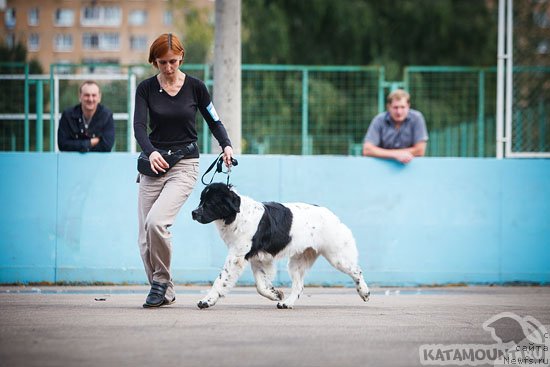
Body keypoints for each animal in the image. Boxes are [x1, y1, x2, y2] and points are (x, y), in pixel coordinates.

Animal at [192, 183, 374, 310]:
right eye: (201, 200)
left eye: (210, 202)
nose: (194, 213)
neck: (237, 215)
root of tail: (332, 216)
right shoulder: (257, 258)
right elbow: (261, 285)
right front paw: (275, 294)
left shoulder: (237, 256)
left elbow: (221, 280)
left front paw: (206, 301)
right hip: (297, 263)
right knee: (299, 286)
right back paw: (287, 303)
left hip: (337, 256)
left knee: (356, 271)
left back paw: (364, 292)